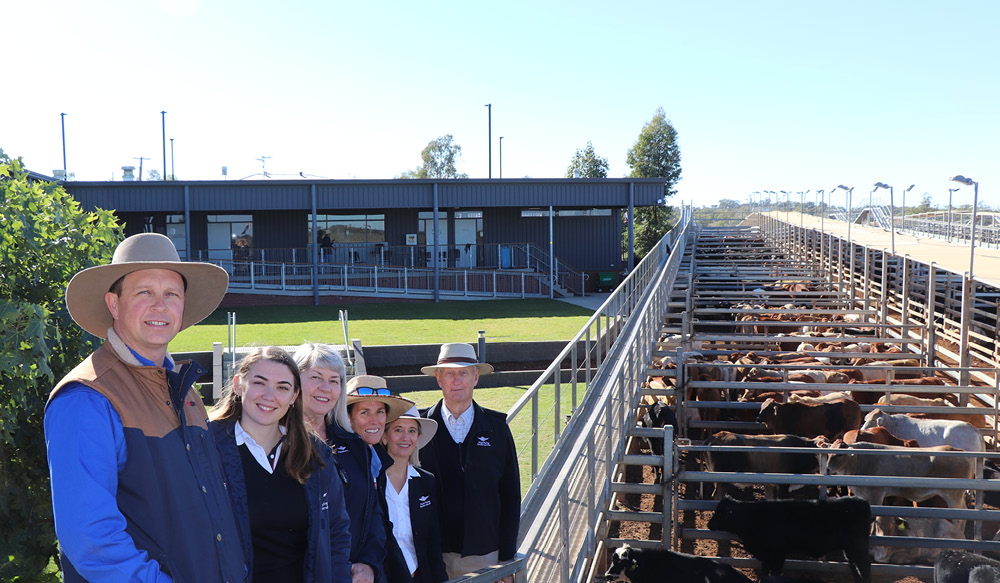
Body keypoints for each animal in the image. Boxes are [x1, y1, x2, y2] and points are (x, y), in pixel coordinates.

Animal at [708, 498, 872, 583]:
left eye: (721, 514)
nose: (709, 525)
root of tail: (861, 501)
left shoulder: (778, 553)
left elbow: (774, 572)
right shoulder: (765, 555)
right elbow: (765, 571)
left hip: (858, 546)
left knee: (865, 567)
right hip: (849, 549)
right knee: (855, 567)